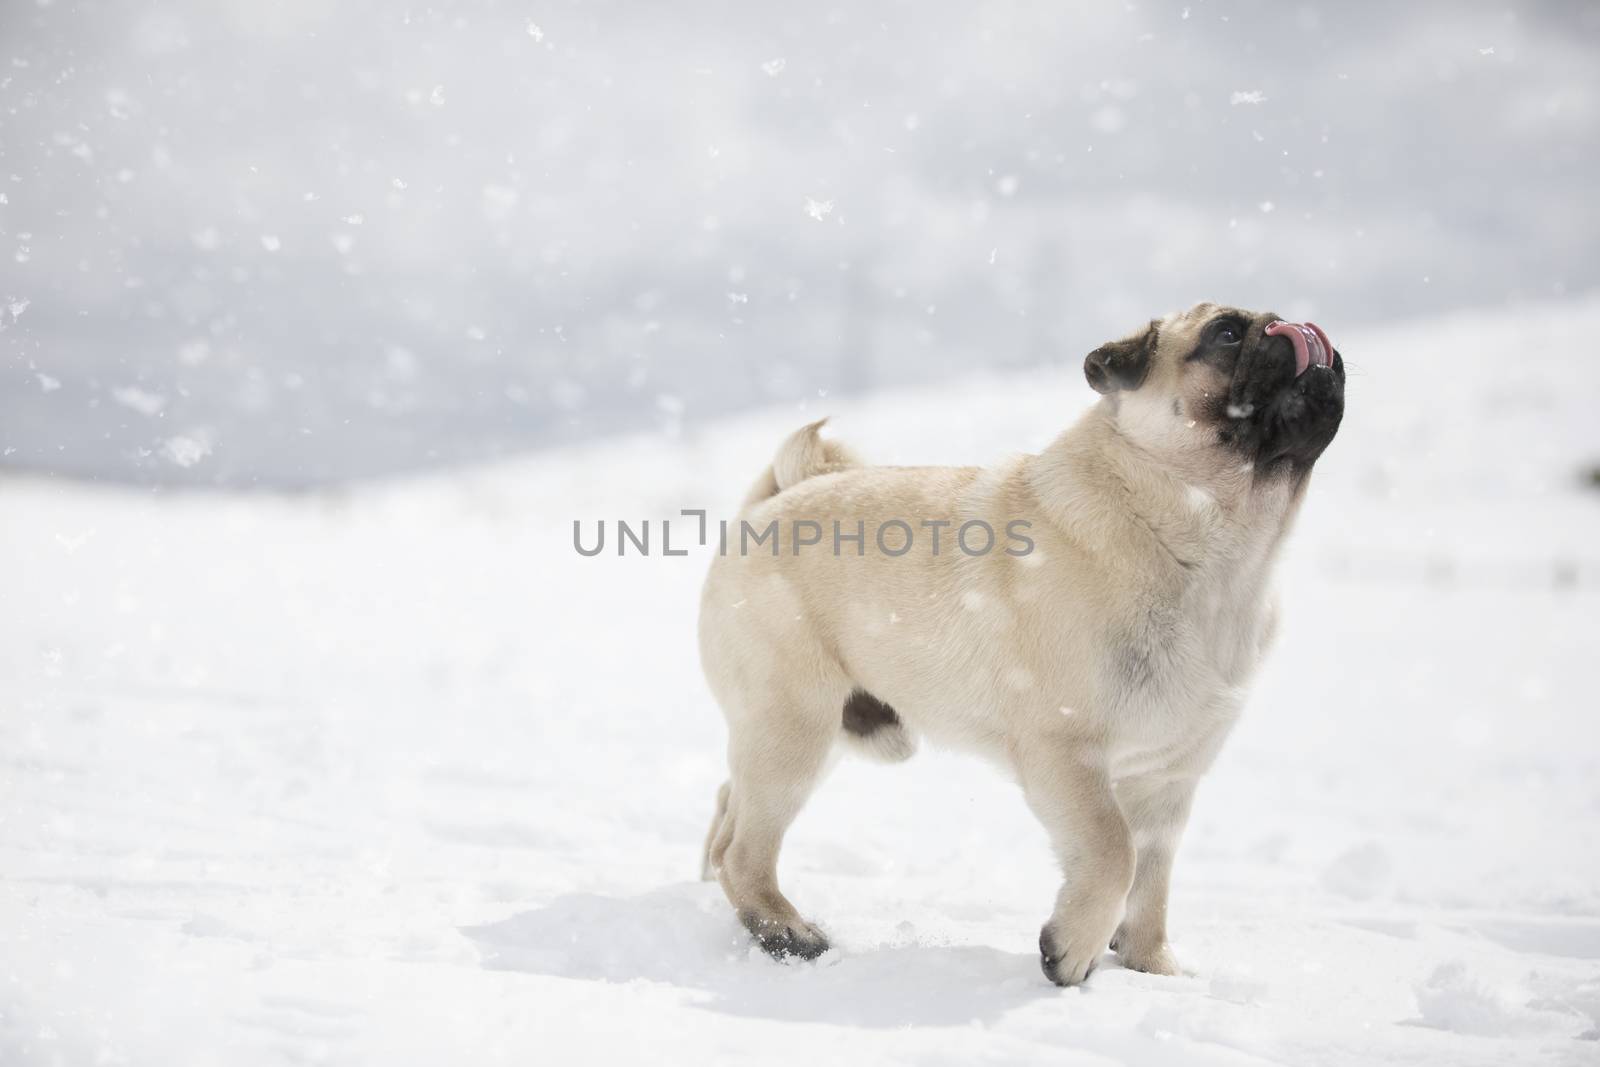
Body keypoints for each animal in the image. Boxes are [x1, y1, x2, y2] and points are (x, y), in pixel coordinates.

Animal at [697, 300, 1337, 985]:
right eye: (1226, 334)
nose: (1295, 330)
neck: (1212, 554)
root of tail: (772, 502)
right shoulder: (1066, 753)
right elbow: (1113, 852)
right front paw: (1073, 951)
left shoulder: (1167, 780)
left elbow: (1152, 878)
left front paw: (1151, 967)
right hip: (795, 725)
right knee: (746, 848)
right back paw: (784, 931)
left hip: (828, 734)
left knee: (728, 807)